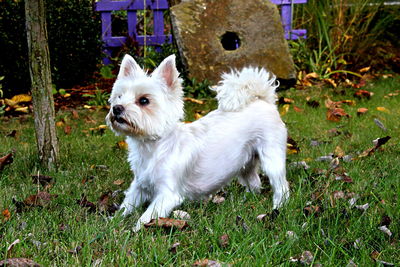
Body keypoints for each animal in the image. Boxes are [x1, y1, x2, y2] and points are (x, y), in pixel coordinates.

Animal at [104, 55, 290, 232]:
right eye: (119, 97)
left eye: (144, 101)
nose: (117, 108)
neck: (152, 148)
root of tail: (262, 100)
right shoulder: (139, 187)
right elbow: (125, 207)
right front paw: (113, 223)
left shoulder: (167, 195)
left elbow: (146, 217)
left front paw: (133, 231)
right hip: (247, 162)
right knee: (254, 182)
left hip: (271, 158)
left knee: (281, 187)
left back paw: (278, 207)